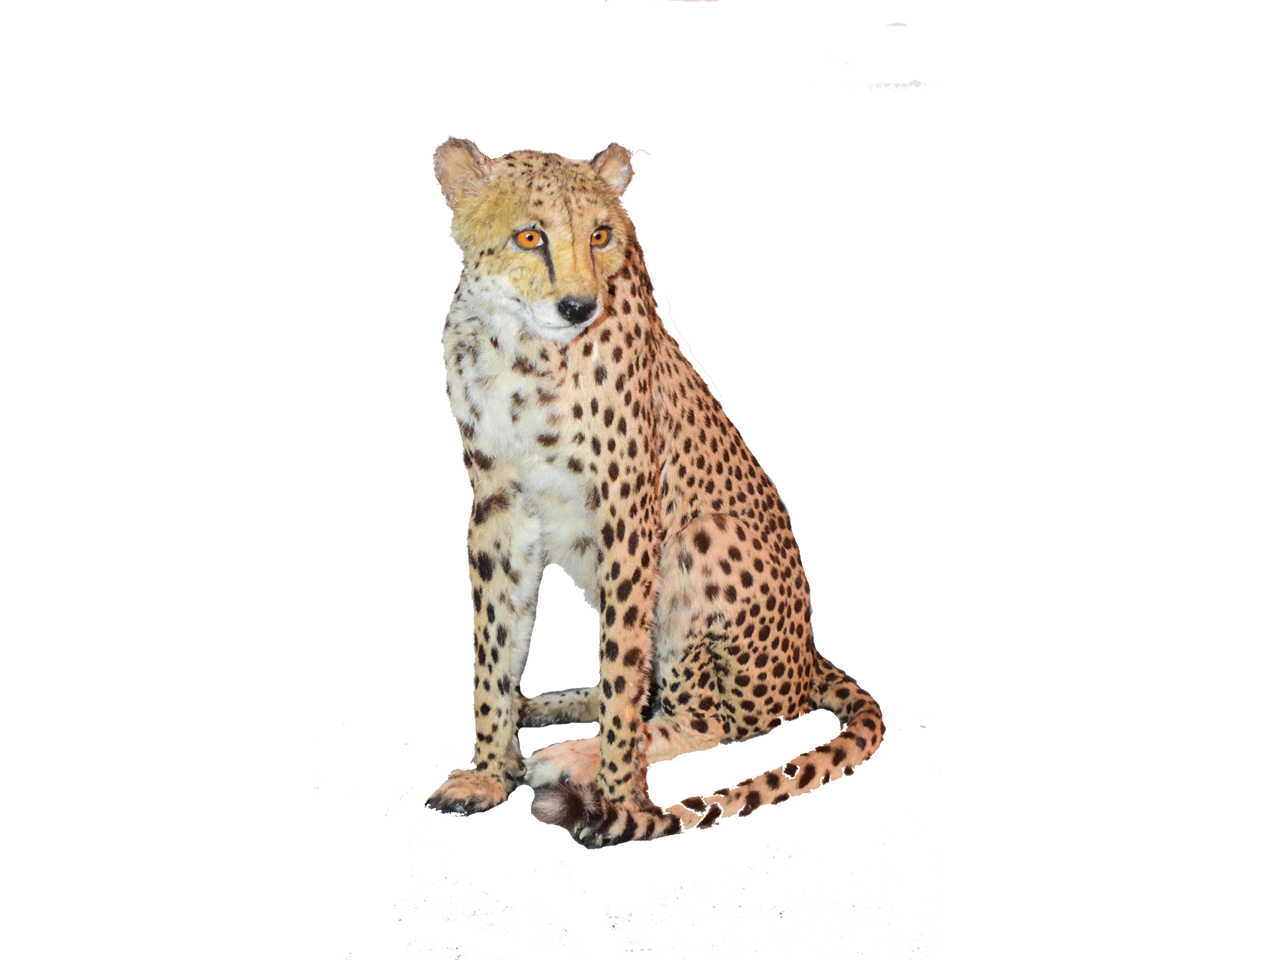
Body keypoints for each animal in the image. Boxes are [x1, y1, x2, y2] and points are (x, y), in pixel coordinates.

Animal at [426, 138, 884, 848]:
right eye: (530, 237)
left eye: (601, 235)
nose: (580, 306)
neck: (522, 348)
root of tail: (808, 659)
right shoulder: (499, 506)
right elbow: (496, 647)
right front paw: (489, 771)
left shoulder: (628, 510)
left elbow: (621, 667)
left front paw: (622, 801)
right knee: (657, 690)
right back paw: (545, 713)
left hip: (705, 537)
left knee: (708, 718)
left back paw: (577, 754)